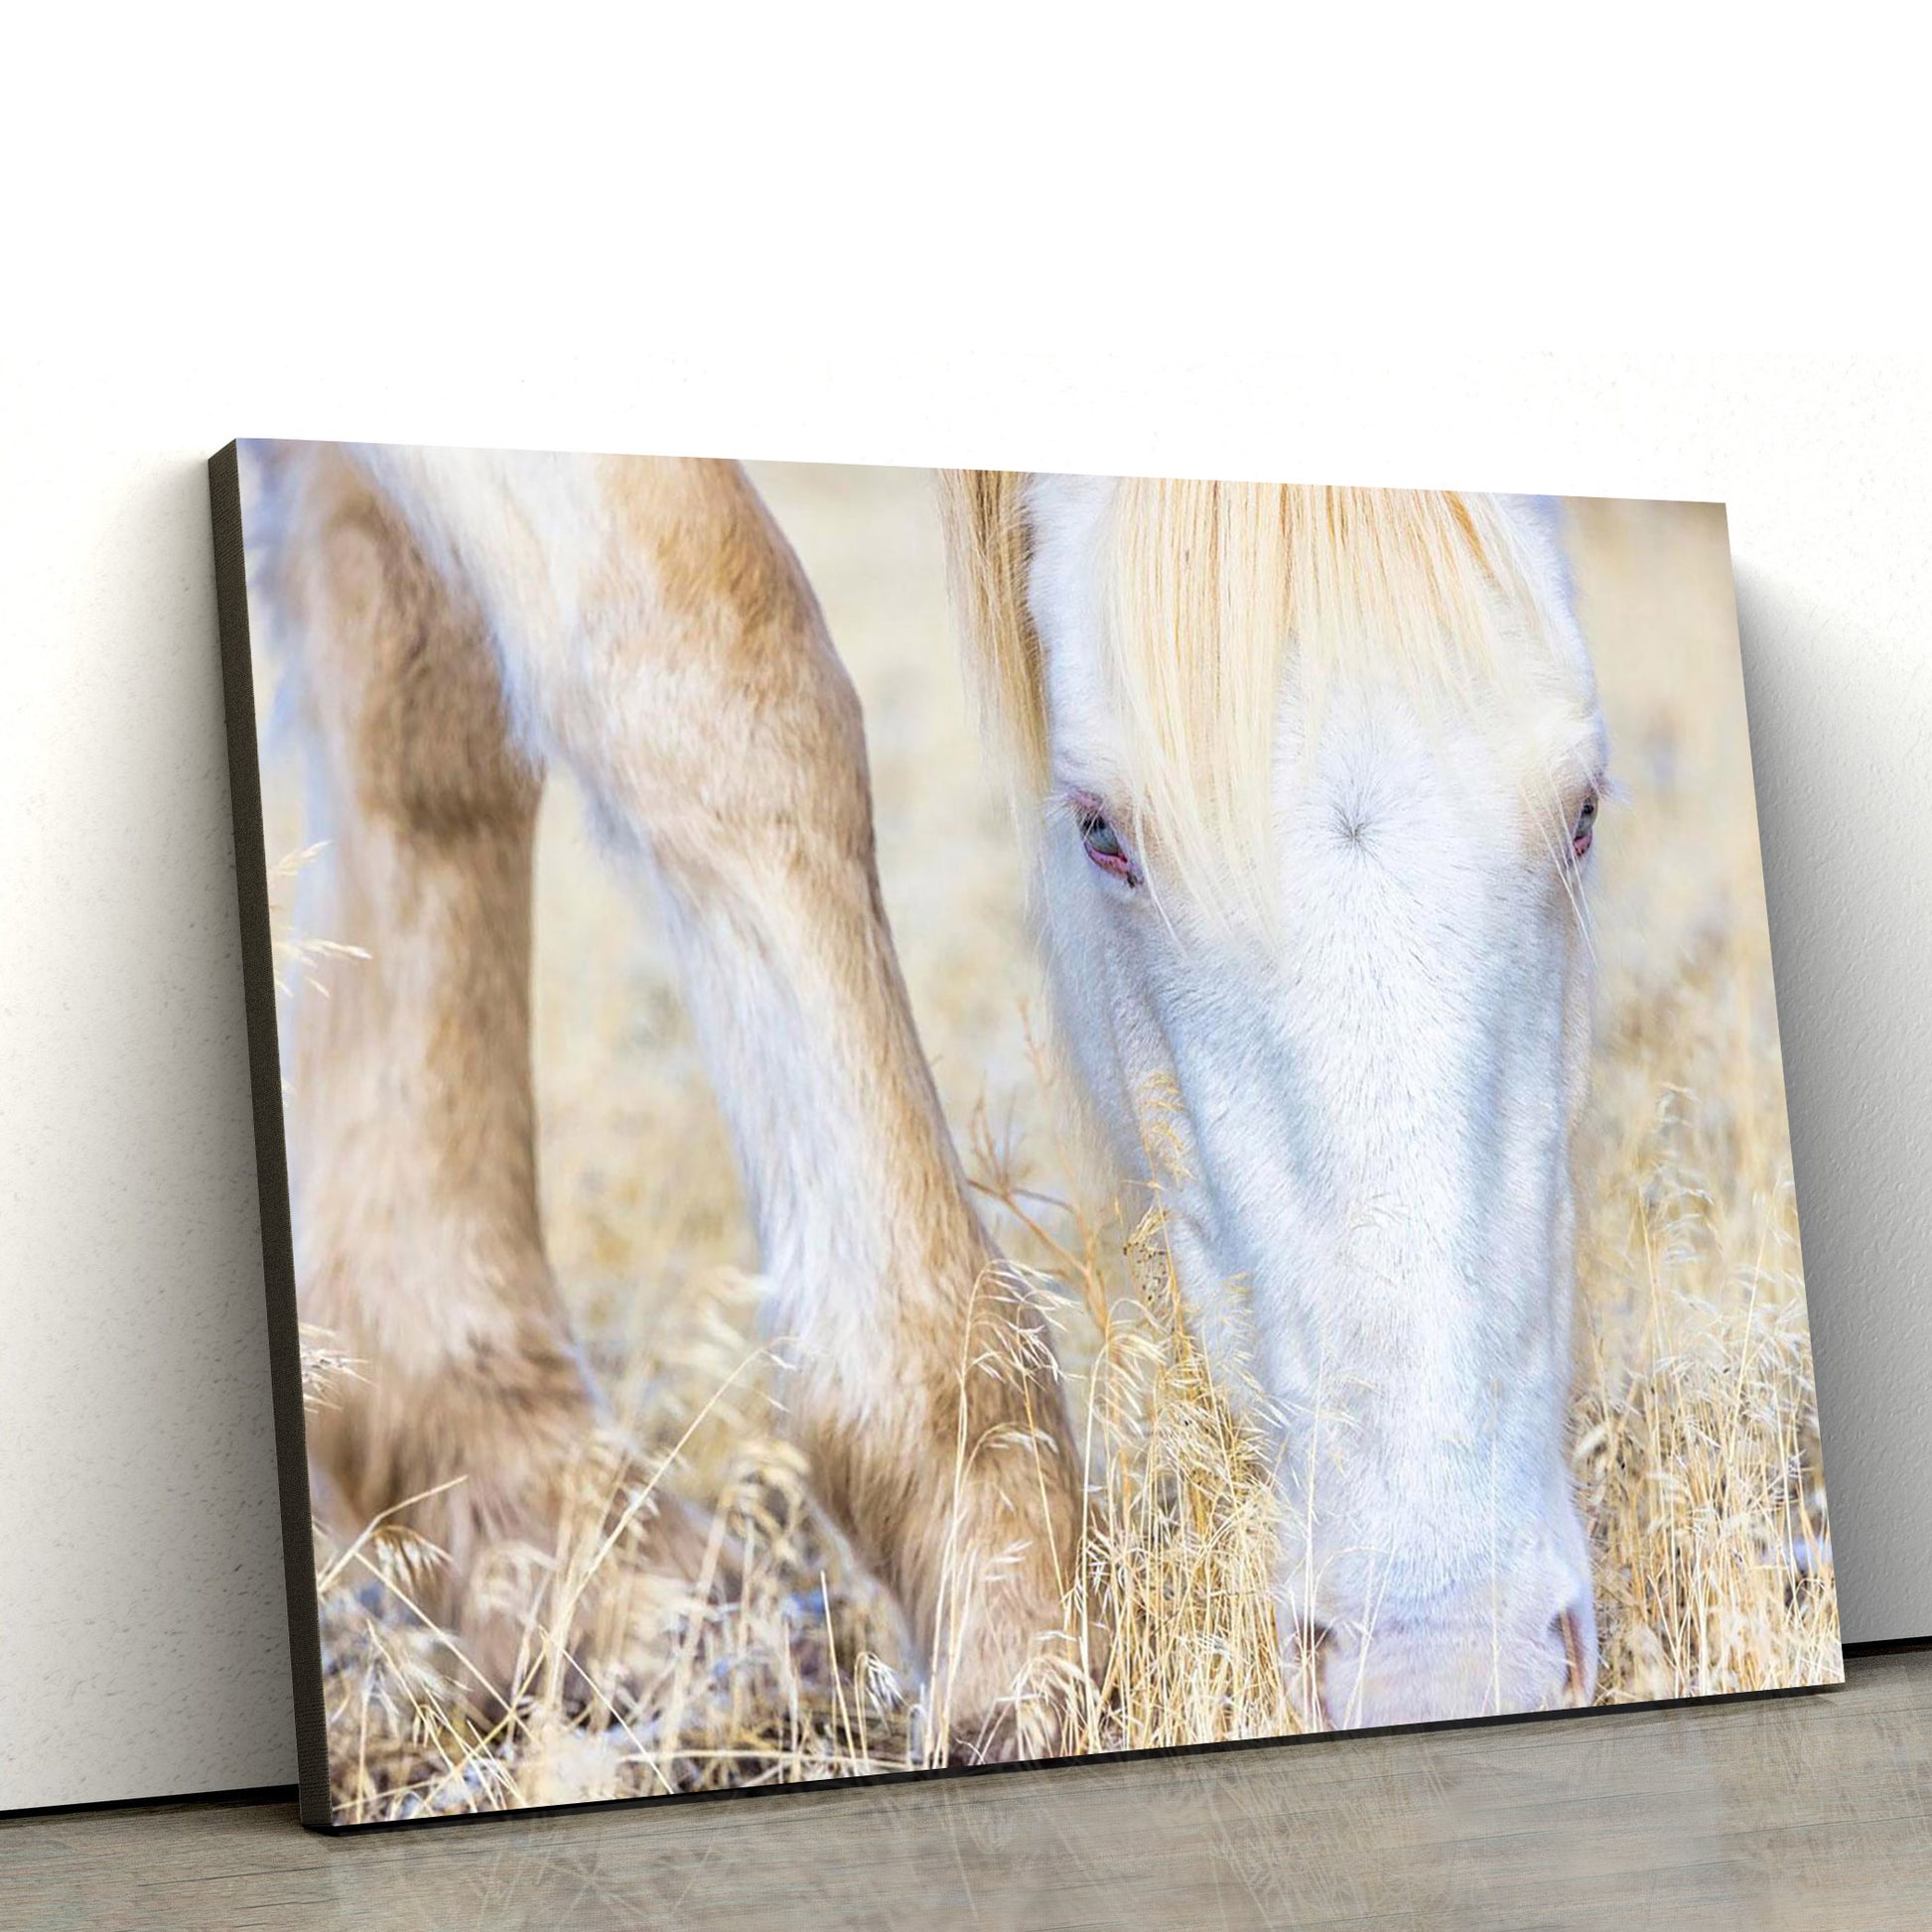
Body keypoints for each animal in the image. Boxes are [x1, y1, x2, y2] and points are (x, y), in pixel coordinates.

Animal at [247, 444, 1606, 1751]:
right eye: (1102, 833)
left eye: (1585, 812)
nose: (1445, 1656)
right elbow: (722, 681)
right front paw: (1005, 1603)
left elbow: (417, 690)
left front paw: (522, 1511)